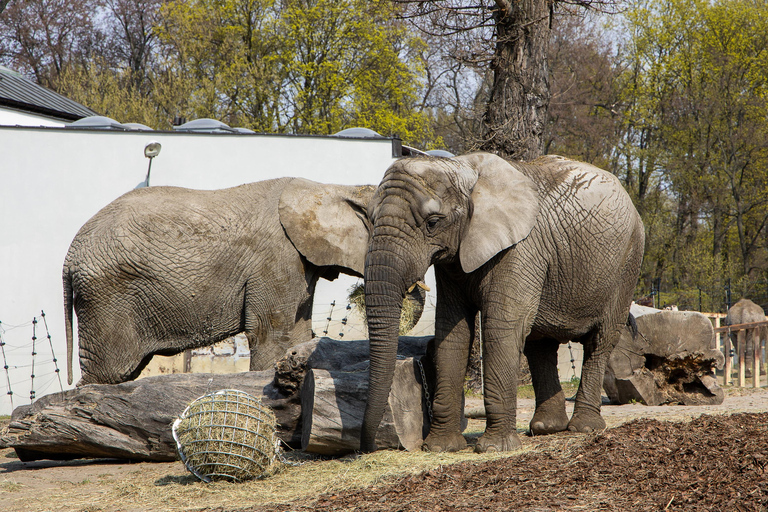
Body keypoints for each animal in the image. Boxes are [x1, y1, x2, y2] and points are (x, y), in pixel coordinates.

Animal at [64, 178, 370, 386]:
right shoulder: (275, 259)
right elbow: (274, 336)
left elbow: (296, 336)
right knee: (110, 371)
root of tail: (69, 257)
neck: (330, 188)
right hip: (107, 295)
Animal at [360, 152, 640, 452]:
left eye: (432, 222)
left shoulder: (521, 249)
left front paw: (493, 448)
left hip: (627, 265)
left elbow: (501, 327)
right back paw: (546, 428)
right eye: (370, 218)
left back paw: (584, 428)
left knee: (599, 341)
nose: (367, 446)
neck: (462, 168)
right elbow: (453, 332)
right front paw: (440, 448)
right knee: (539, 344)